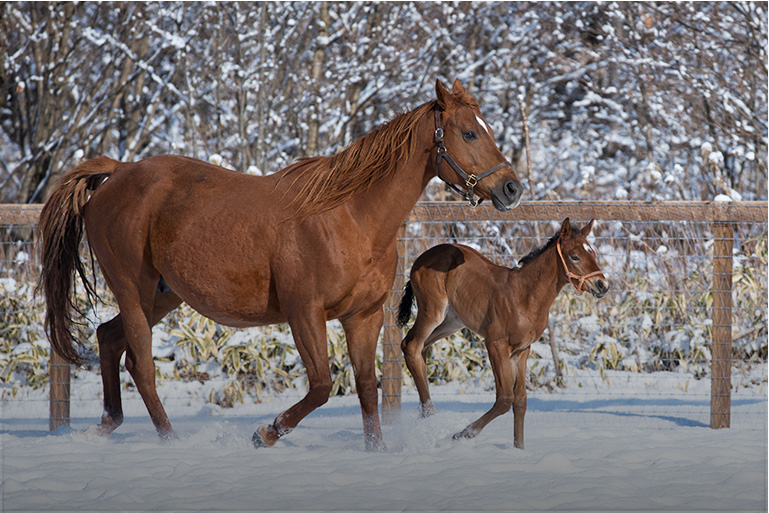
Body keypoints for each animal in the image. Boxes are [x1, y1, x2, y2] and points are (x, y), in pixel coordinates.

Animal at [39, 78, 524, 450]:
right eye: (469, 133)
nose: (511, 188)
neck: (349, 217)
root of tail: (117, 172)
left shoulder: (363, 316)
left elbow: (366, 388)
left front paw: (376, 451)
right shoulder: (304, 313)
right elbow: (324, 385)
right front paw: (266, 433)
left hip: (163, 296)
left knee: (107, 338)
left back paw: (106, 426)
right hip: (132, 289)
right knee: (140, 365)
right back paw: (170, 441)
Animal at [396, 218, 608, 446]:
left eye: (593, 254)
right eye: (575, 256)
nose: (603, 285)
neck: (525, 296)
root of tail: (420, 258)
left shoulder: (522, 351)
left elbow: (521, 401)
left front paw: (519, 449)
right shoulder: (495, 343)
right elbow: (505, 398)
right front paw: (462, 434)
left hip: (452, 321)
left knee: (422, 348)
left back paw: (424, 416)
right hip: (433, 310)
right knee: (411, 345)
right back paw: (429, 415)